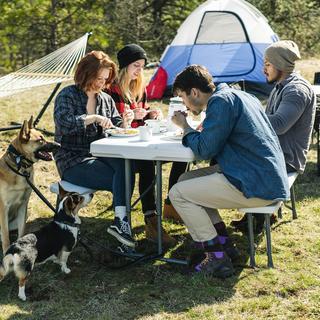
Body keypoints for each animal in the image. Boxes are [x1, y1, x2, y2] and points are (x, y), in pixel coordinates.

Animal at [0, 116, 59, 254]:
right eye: (40, 140)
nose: (59, 145)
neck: (20, 167)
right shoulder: (3, 208)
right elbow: (5, 237)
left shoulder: (23, 206)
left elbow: (21, 231)